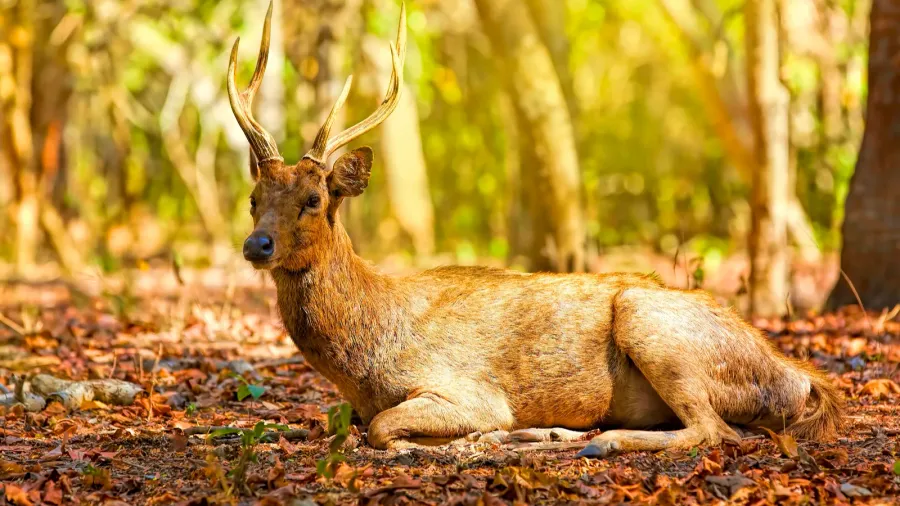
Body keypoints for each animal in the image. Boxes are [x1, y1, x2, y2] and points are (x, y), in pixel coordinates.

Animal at [226, 2, 843, 457]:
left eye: (313, 199)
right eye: (253, 199)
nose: (257, 244)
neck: (367, 353)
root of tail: (800, 377)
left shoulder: (469, 390)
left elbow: (380, 429)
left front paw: (452, 441)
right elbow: (342, 420)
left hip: (651, 322)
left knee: (715, 430)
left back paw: (598, 441)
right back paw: (548, 433)